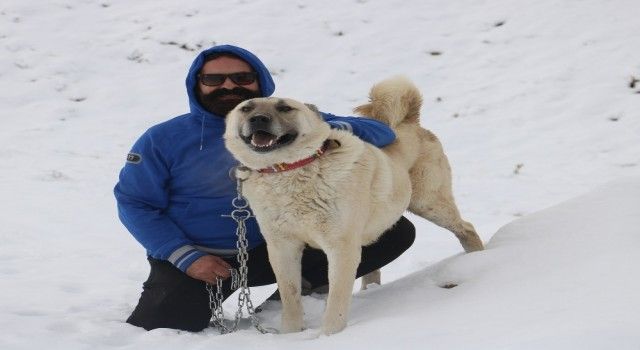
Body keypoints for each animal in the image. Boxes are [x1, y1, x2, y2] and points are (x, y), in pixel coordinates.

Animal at [222, 77, 482, 336]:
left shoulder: (341, 247)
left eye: (285, 108)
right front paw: (291, 335)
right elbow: (290, 296)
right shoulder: (283, 248)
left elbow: (336, 301)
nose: (258, 119)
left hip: (429, 204)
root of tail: (411, 122)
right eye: (246, 108)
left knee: (467, 227)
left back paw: (478, 258)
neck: (289, 172)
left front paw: (328, 337)